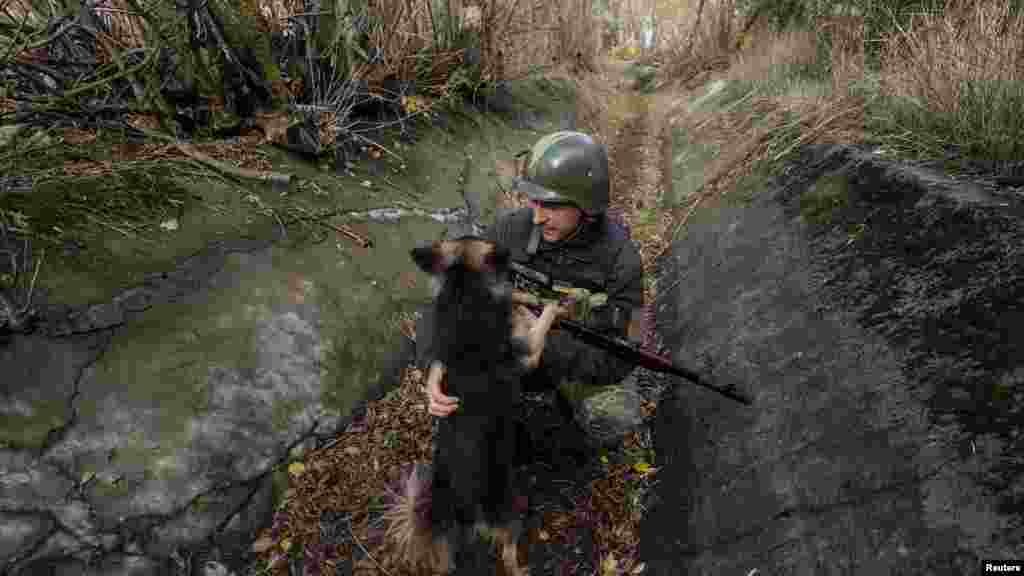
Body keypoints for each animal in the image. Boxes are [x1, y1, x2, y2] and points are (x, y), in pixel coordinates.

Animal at [401, 234, 561, 573]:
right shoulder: (529, 353)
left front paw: (525, 297)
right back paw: (521, 568)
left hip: (447, 537)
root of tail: (461, 508)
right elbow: (540, 322)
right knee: (507, 554)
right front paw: (554, 305)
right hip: (510, 507)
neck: (464, 292)